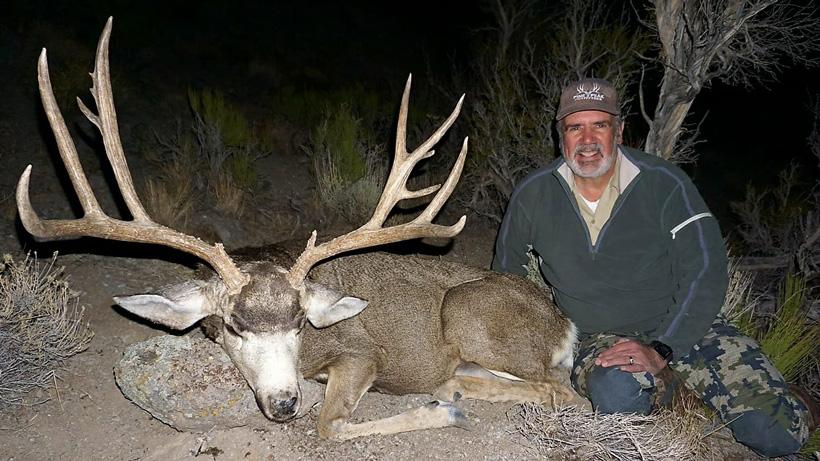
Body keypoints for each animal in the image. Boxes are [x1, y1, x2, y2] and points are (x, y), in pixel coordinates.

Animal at [17, 18, 578, 440]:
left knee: (564, 390)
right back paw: (453, 390)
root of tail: (564, 323)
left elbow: (329, 425)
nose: (285, 402)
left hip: (467, 312)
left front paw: (437, 413)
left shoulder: (361, 352)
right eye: (233, 327)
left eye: (302, 323)